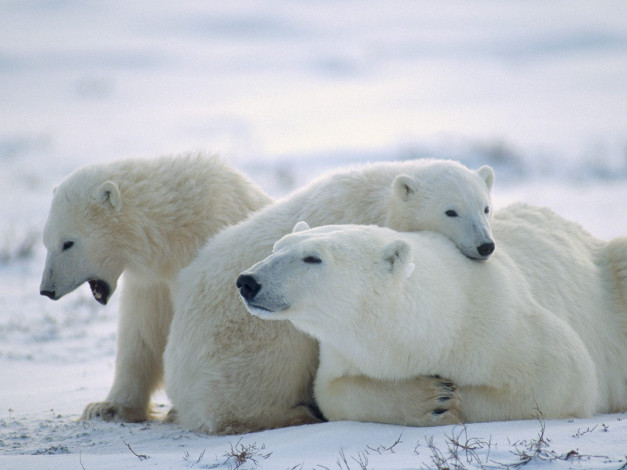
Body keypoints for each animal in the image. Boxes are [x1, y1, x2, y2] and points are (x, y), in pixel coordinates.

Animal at [39, 154, 272, 422]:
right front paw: (107, 407)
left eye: (68, 243)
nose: (47, 289)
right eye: (46, 242)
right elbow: (142, 333)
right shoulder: (151, 283)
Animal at [163, 160, 496, 436]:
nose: (485, 245)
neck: (378, 201)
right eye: (451, 211)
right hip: (241, 343)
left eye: (485, 208)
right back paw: (294, 414)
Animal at [239, 207, 627, 424]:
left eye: (312, 257)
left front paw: (452, 400)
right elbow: (333, 392)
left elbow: (565, 378)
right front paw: (431, 400)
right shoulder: (345, 353)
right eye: (277, 247)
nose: (248, 281)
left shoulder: (503, 326)